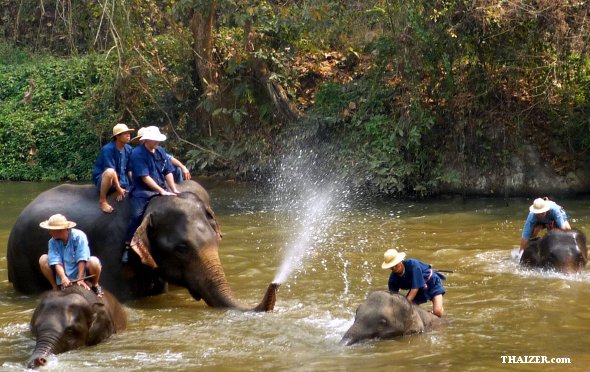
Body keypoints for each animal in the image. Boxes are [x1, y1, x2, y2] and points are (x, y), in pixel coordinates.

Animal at [6, 180, 280, 310]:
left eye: (216, 240)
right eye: (181, 248)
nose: (275, 282)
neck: (149, 205)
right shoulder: (113, 249)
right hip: (20, 260)